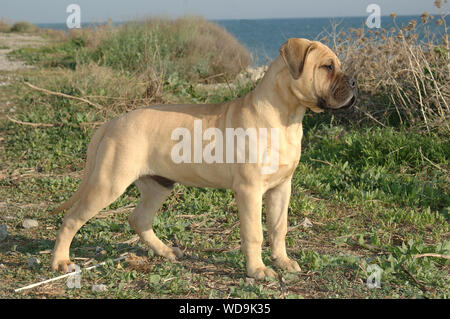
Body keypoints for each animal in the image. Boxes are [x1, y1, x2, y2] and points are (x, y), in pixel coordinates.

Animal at [51, 38, 356, 280]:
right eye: (327, 67)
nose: (354, 81)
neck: (286, 116)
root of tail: (113, 121)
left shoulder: (282, 187)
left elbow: (278, 228)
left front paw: (282, 261)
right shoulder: (250, 191)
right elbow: (254, 233)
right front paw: (257, 270)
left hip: (157, 185)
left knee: (139, 219)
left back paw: (166, 251)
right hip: (108, 183)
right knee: (72, 218)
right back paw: (61, 262)